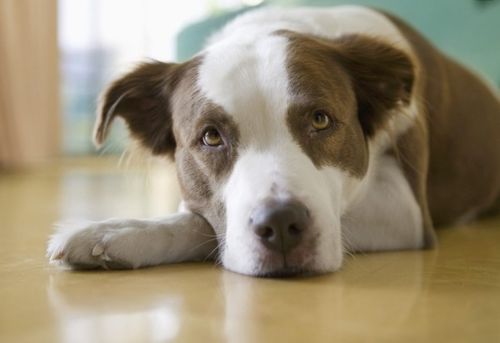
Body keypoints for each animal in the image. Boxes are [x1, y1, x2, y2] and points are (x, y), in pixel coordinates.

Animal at [48, 6, 500, 278]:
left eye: (320, 120)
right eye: (211, 136)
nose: (282, 224)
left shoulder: (407, 211)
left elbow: (203, 225)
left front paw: (118, 232)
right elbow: (204, 218)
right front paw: (119, 230)